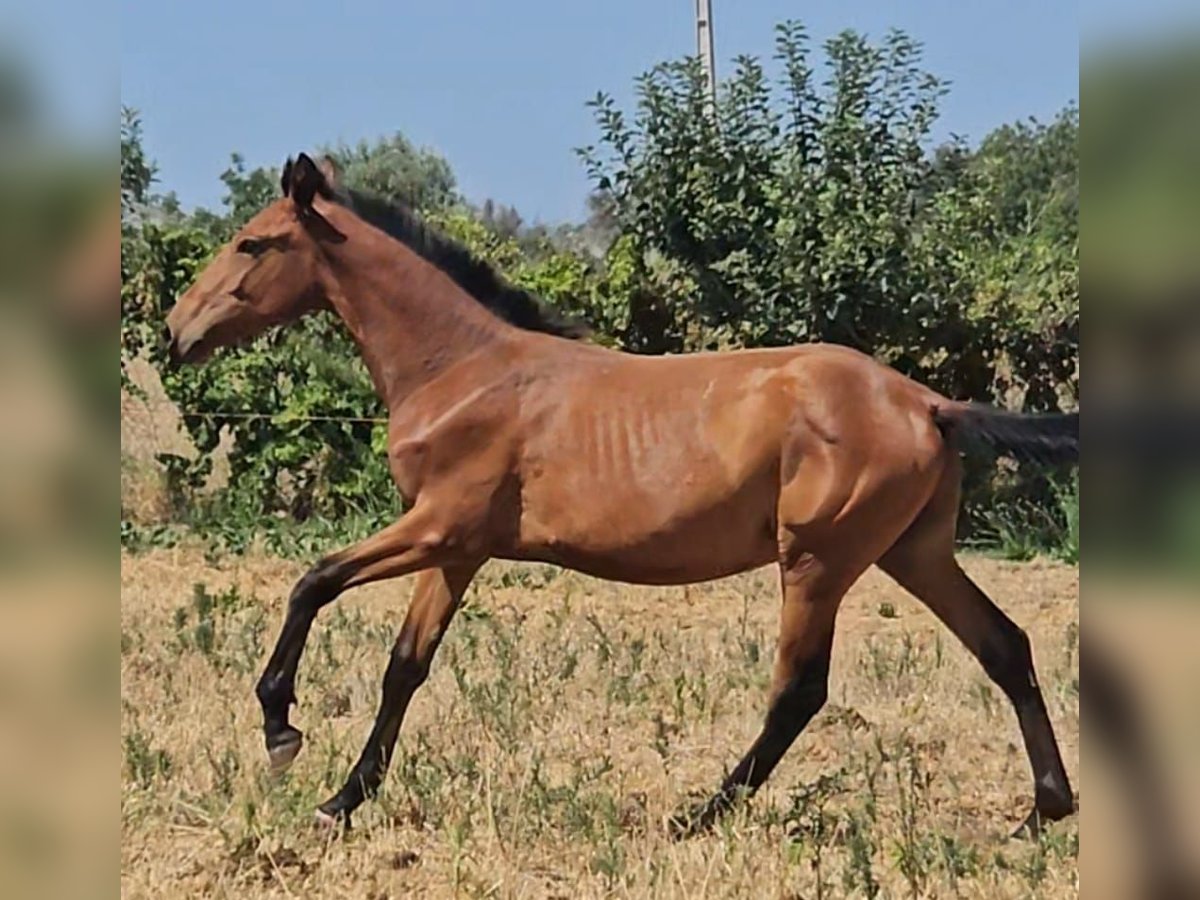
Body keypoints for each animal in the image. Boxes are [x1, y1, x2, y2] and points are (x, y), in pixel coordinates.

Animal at [162, 153, 1080, 840]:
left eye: (252, 244)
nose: (176, 332)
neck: (462, 369)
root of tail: (928, 404)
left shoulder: (437, 525)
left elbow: (312, 581)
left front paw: (281, 730)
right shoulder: (457, 550)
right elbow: (404, 668)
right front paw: (342, 801)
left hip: (819, 560)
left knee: (800, 691)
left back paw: (697, 817)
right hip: (912, 552)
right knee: (1005, 646)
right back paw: (1044, 810)